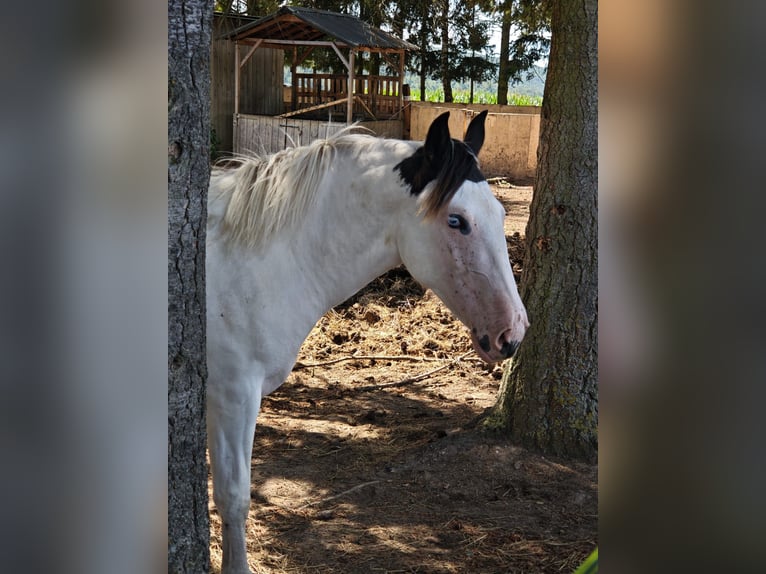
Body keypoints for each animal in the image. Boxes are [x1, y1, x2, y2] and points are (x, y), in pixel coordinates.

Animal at [206, 110, 529, 574]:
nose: (512, 332)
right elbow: (233, 497)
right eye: (456, 221)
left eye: (500, 214)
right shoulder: (232, 395)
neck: (255, 260)